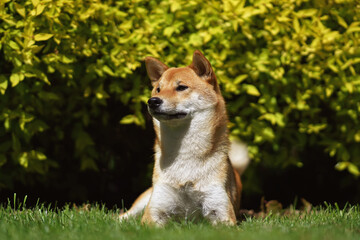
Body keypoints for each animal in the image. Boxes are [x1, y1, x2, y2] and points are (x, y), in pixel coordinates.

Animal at [119, 50, 249, 225]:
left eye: (181, 87)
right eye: (158, 89)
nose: (152, 101)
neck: (184, 154)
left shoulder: (221, 211)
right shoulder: (154, 211)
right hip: (145, 199)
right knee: (123, 216)